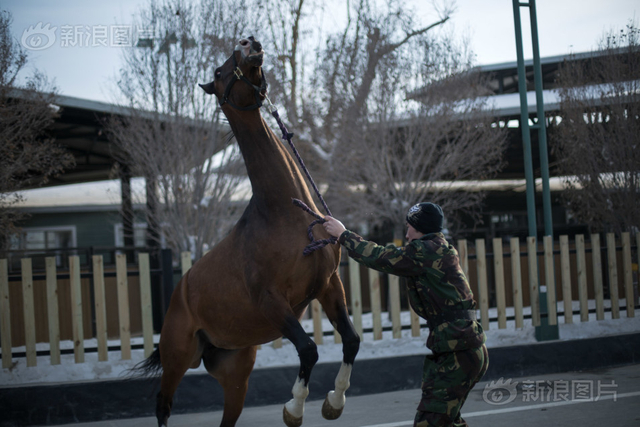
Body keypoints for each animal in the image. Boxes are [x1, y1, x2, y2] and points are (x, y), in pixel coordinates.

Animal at [136, 37, 360, 427]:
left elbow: (350, 340)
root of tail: (180, 292)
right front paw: (294, 408)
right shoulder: (271, 300)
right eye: (218, 71)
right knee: (163, 405)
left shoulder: (329, 285)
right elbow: (308, 349)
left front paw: (335, 401)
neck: (284, 214)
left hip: (235, 373)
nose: (249, 42)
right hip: (177, 358)